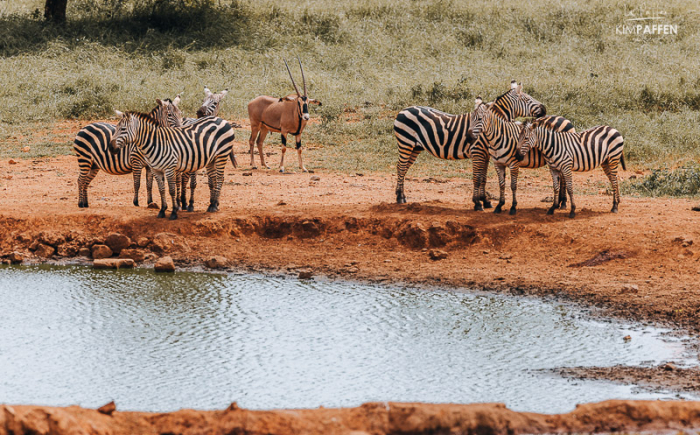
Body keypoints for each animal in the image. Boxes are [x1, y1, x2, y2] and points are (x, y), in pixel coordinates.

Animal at [393, 80, 547, 210]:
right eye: (528, 99)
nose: (544, 108)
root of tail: (403, 110)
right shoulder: (477, 151)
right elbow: (477, 178)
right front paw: (477, 203)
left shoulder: (486, 154)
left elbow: (484, 178)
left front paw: (485, 201)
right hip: (406, 143)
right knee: (401, 167)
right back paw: (400, 197)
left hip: (415, 147)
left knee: (404, 168)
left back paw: (401, 194)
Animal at [470, 83, 575, 215]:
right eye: (527, 99)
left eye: (479, 119)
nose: (544, 109)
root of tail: (566, 119)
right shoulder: (496, 162)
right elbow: (500, 184)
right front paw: (498, 205)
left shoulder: (509, 162)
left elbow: (511, 185)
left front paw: (512, 207)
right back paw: (561, 201)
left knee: (564, 178)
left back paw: (563, 202)